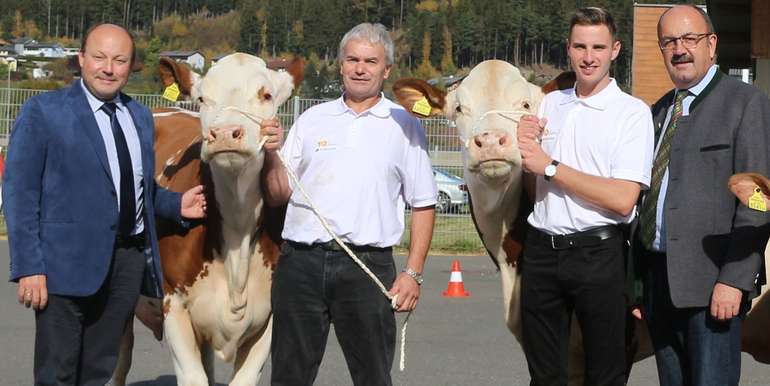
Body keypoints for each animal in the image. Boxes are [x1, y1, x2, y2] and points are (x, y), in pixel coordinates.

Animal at [112, 54, 302, 386]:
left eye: (266, 94)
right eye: (202, 98)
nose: (225, 133)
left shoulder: (269, 317)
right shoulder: (174, 304)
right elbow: (192, 378)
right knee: (120, 361)